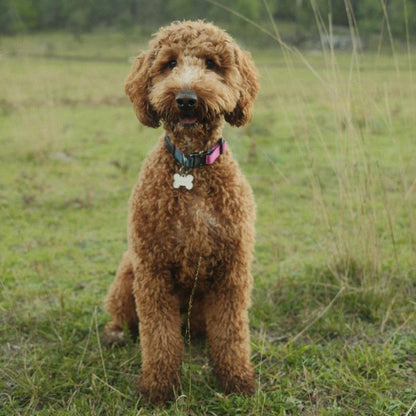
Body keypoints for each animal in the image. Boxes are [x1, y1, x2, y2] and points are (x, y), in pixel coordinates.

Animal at [102, 19, 258, 404]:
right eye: (169, 63)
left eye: (212, 64)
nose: (186, 99)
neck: (190, 166)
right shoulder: (152, 270)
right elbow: (159, 338)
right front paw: (159, 387)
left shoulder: (232, 270)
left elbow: (232, 335)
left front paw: (236, 380)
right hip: (128, 272)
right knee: (120, 314)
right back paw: (114, 333)